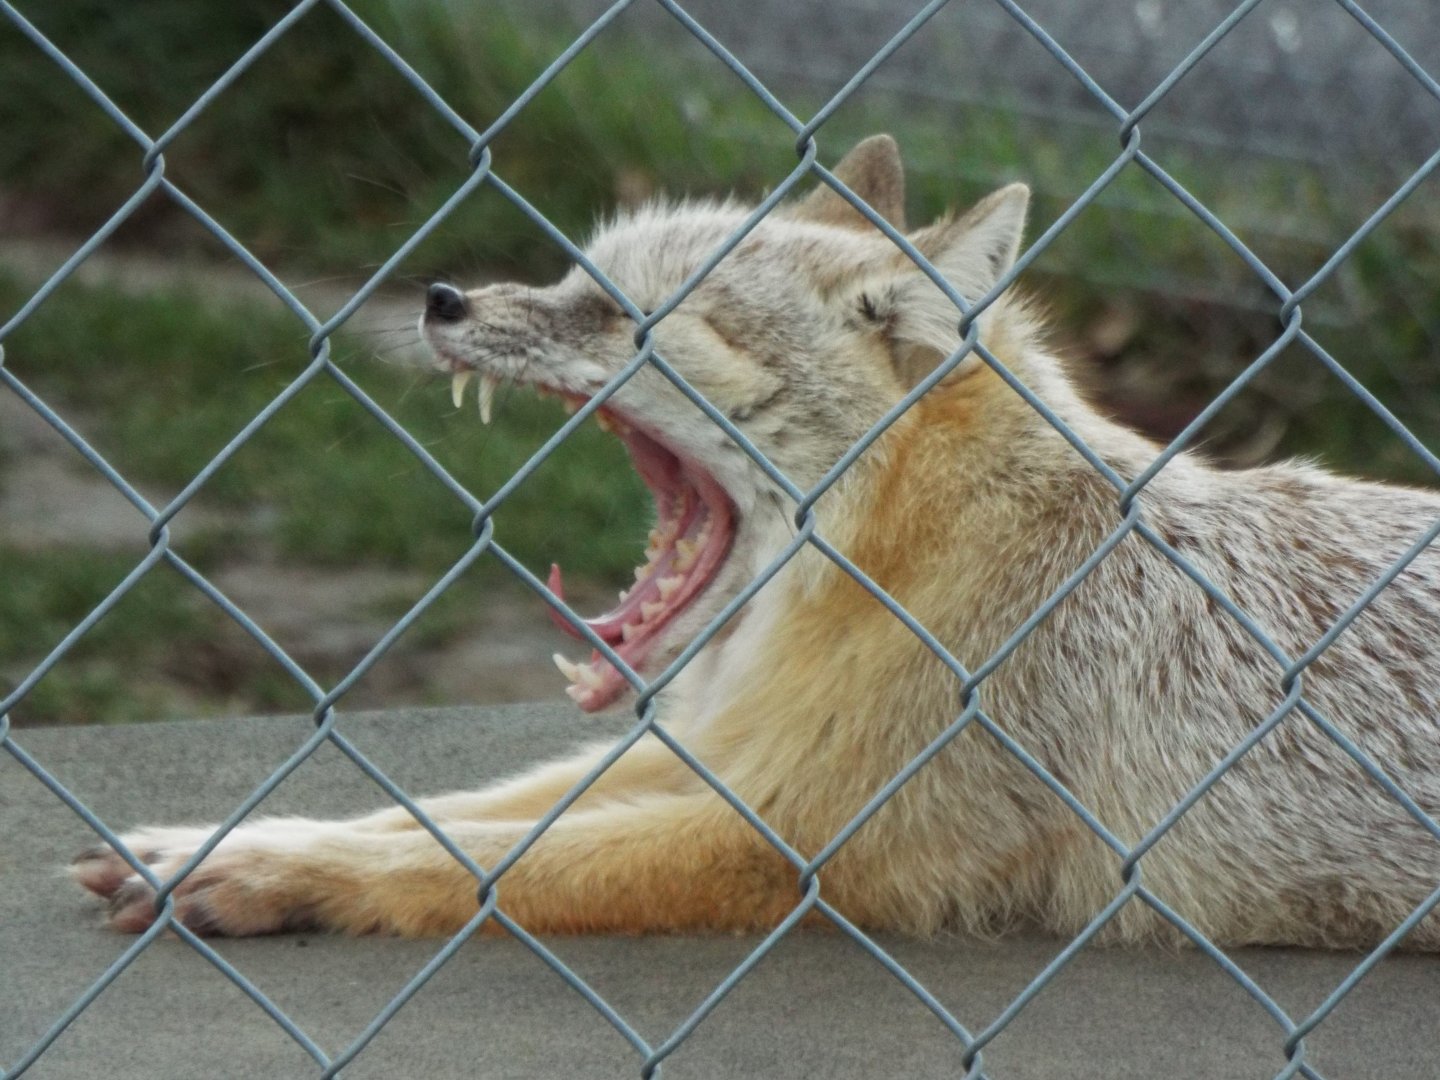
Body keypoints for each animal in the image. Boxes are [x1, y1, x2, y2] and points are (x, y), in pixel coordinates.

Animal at [74, 135, 1440, 950]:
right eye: (572, 283)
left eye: (629, 319)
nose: (442, 298)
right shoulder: (735, 751)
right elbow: (441, 809)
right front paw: (231, 840)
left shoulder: (805, 842)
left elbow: (490, 861)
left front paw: (278, 877)